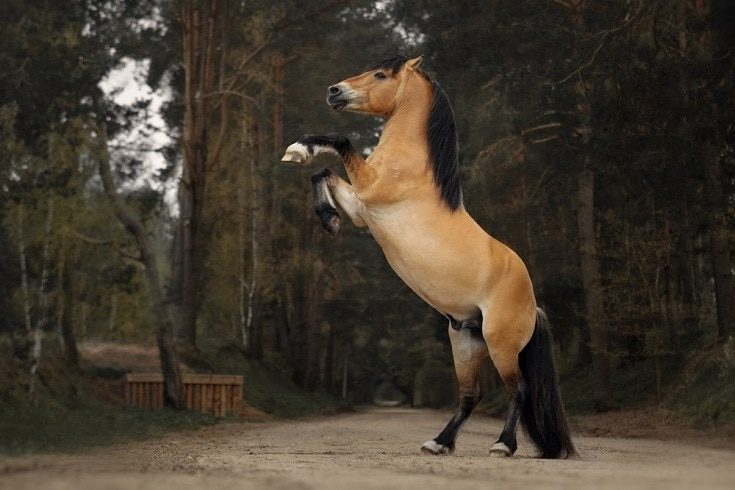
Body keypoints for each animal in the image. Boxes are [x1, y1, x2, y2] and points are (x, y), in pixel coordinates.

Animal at [281, 55, 576, 459]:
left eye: (380, 74)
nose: (334, 91)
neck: (410, 163)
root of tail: (533, 304)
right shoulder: (361, 208)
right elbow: (321, 173)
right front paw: (327, 213)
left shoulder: (368, 189)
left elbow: (340, 142)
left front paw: (301, 153)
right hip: (465, 344)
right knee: (470, 396)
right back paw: (439, 443)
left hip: (501, 345)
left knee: (519, 391)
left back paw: (502, 445)